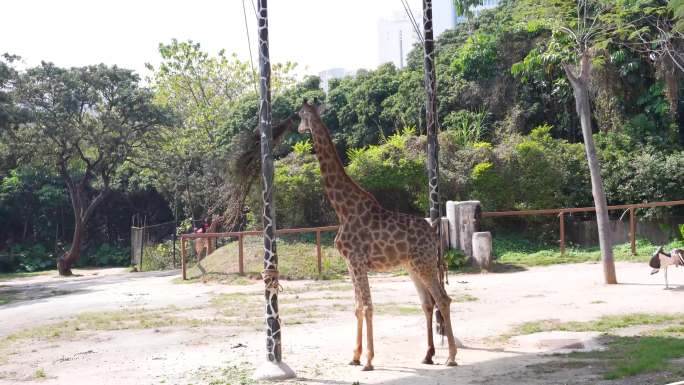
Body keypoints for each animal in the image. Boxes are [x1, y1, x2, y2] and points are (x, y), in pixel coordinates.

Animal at [296, 101, 456, 368]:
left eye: (299, 115)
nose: (298, 129)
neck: (343, 209)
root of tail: (435, 233)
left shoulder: (358, 261)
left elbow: (368, 306)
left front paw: (369, 360)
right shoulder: (350, 263)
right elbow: (357, 307)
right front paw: (354, 356)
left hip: (425, 264)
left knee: (443, 299)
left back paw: (452, 357)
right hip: (413, 265)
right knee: (427, 302)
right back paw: (427, 355)